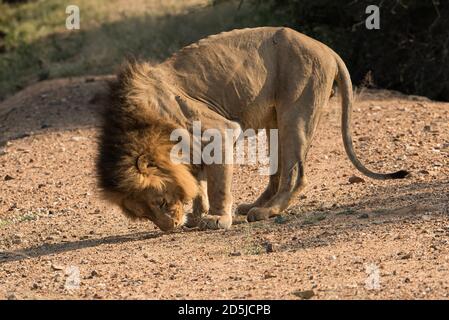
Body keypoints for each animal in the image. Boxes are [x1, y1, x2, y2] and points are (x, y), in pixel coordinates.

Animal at [96, 26, 408, 230]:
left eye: (160, 201)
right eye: (143, 214)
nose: (169, 227)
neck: (142, 125)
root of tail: (326, 48)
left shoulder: (218, 130)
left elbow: (217, 184)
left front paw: (217, 218)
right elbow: (198, 181)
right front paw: (197, 215)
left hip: (296, 111)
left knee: (296, 173)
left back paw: (267, 211)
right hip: (274, 124)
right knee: (277, 172)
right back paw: (253, 206)